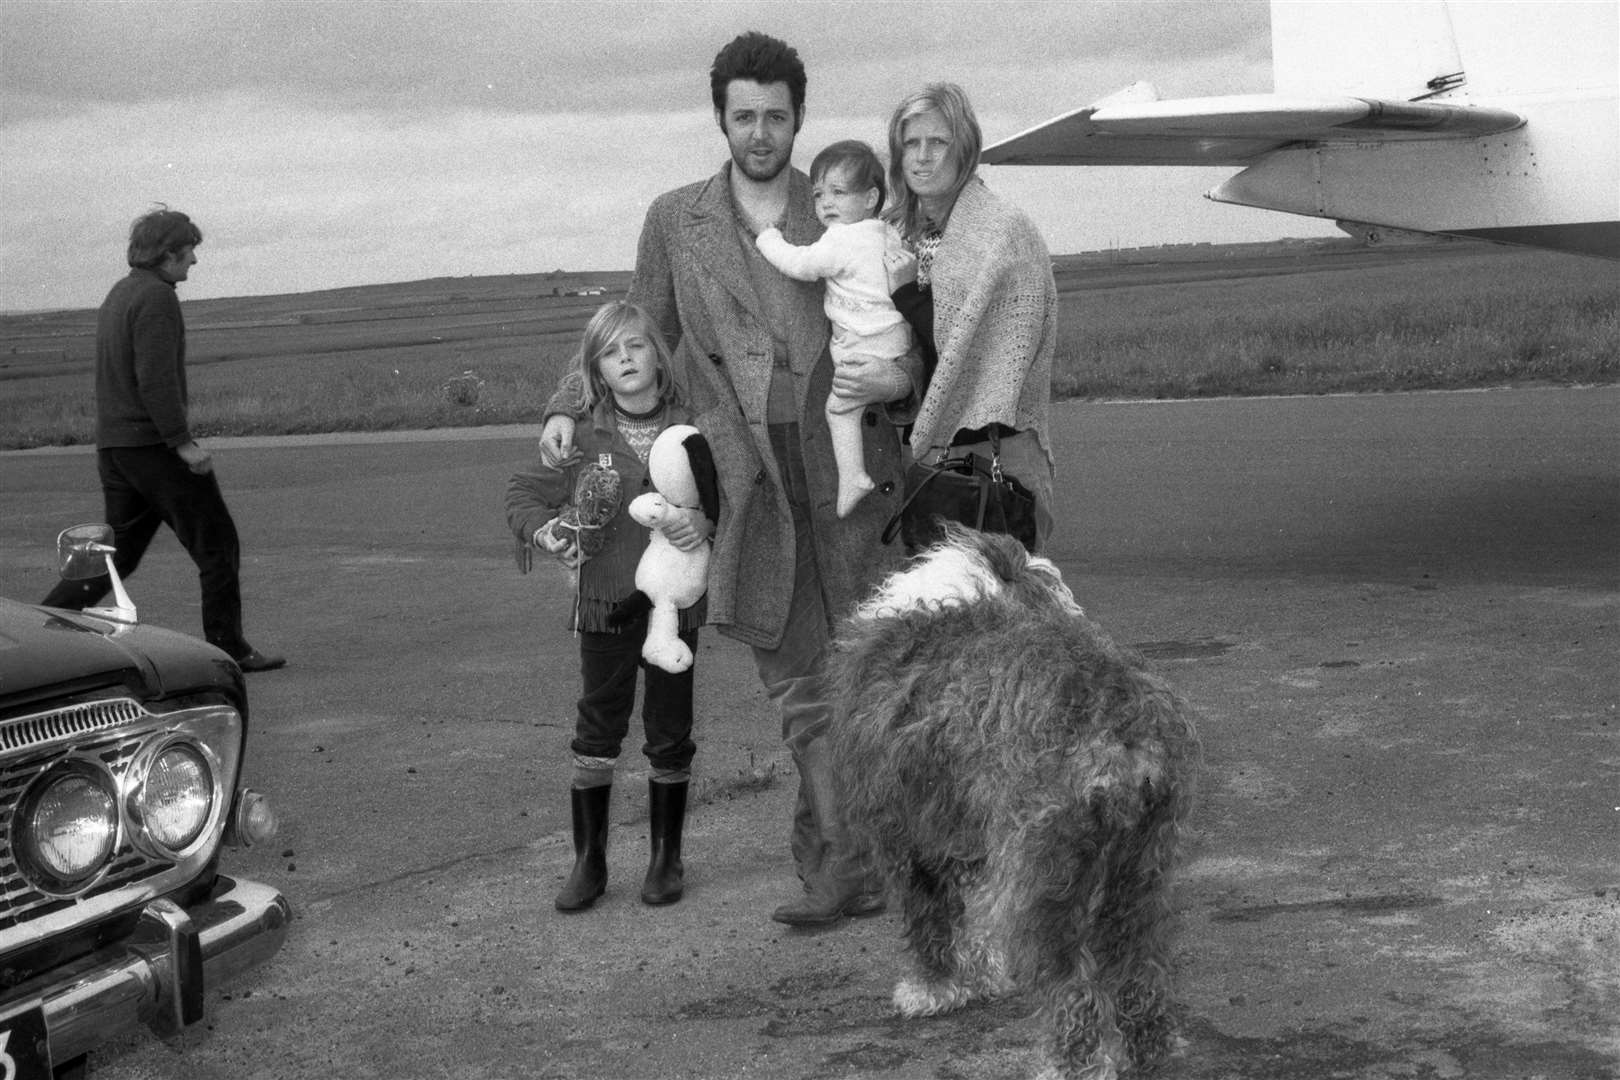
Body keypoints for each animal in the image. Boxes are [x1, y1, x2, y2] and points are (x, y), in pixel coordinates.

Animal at [829, 524, 1198, 1080]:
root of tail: (1120, 728)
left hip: (1045, 878)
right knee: (1137, 967)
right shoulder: (972, 837)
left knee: (1071, 987)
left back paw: (1069, 1063)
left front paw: (933, 988)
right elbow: (971, 919)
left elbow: (930, 920)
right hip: (1139, 874)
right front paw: (983, 973)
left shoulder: (906, 838)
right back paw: (1147, 1050)